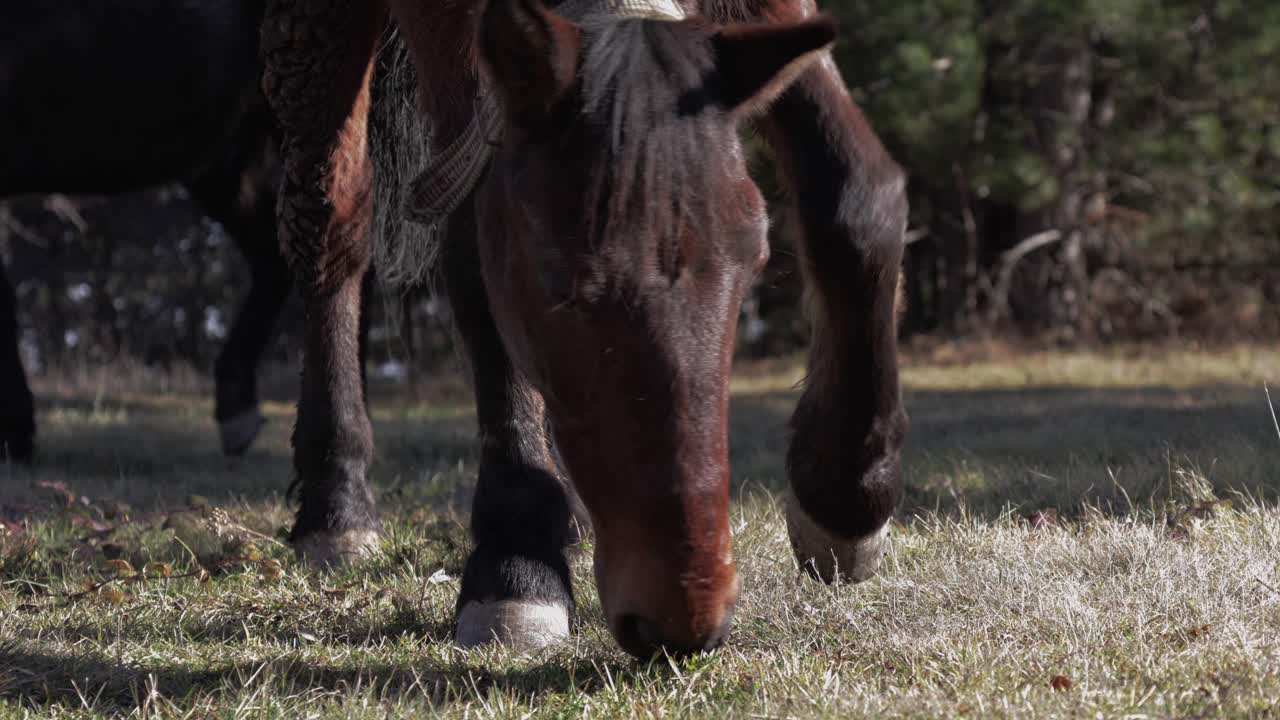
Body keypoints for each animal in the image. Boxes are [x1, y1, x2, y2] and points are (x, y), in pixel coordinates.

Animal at [261, 0, 909, 658]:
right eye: (558, 286)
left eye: (754, 262)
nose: (685, 620)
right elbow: (471, 245)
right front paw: (516, 554)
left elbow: (860, 197)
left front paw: (847, 496)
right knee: (331, 220)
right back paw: (337, 503)